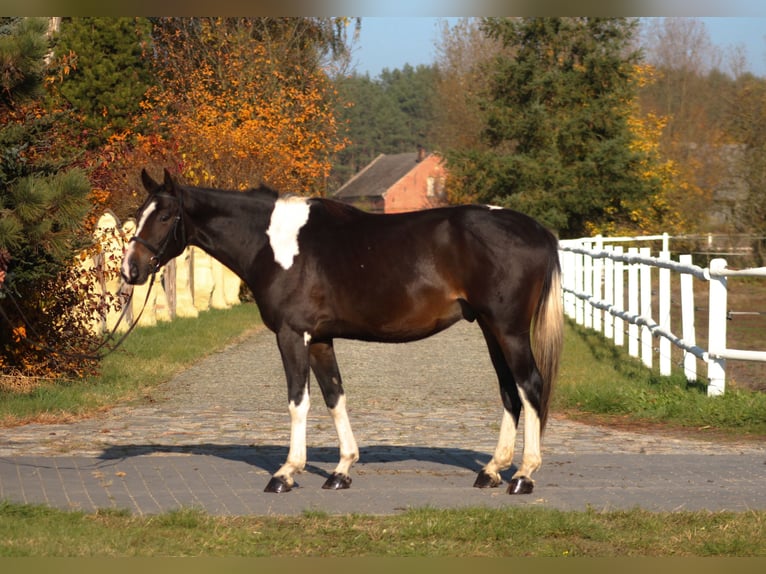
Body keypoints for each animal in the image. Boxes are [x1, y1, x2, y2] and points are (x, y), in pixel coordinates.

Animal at [121, 169, 564, 498]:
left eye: (165, 217)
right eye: (140, 212)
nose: (131, 270)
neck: (274, 242)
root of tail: (539, 231)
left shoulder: (291, 334)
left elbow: (298, 402)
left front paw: (286, 472)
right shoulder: (319, 339)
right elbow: (335, 397)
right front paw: (341, 470)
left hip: (508, 331)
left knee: (529, 386)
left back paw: (523, 476)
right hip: (491, 329)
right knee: (509, 392)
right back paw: (492, 470)